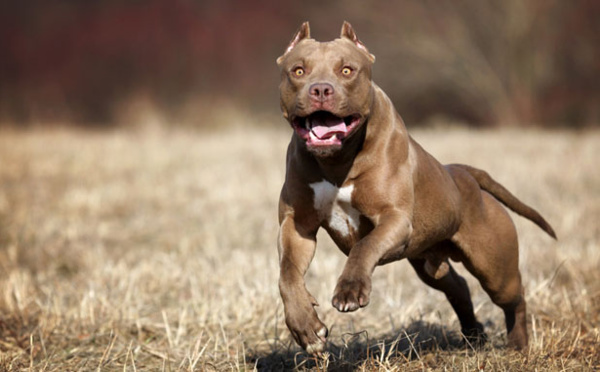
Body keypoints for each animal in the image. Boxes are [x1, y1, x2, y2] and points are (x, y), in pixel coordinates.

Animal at [276, 21, 556, 356]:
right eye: (298, 70)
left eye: (347, 70)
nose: (320, 89)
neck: (336, 161)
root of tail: (462, 173)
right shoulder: (297, 226)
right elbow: (287, 274)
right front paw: (305, 326)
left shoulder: (394, 219)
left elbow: (363, 245)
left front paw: (350, 289)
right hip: (429, 264)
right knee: (458, 287)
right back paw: (473, 336)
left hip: (495, 270)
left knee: (515, 297)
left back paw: (518, 345)